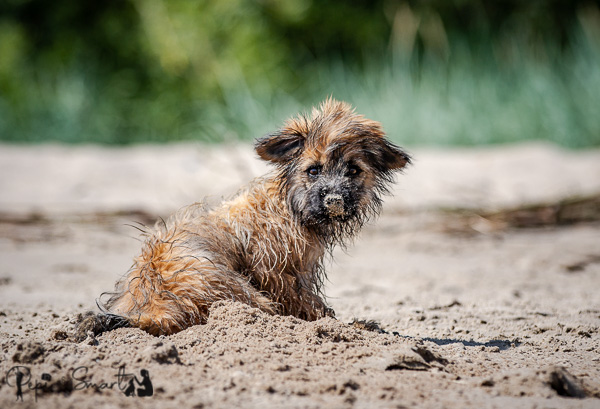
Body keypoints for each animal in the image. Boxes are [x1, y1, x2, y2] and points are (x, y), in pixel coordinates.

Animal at [78, 98, 408, 334]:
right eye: (313, 170)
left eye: (353, 170)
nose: (334, 198)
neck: (288, 206)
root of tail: (154, 306)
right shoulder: (279, 275)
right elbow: (311, 307)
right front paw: (352, 326)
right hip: (243, 292)